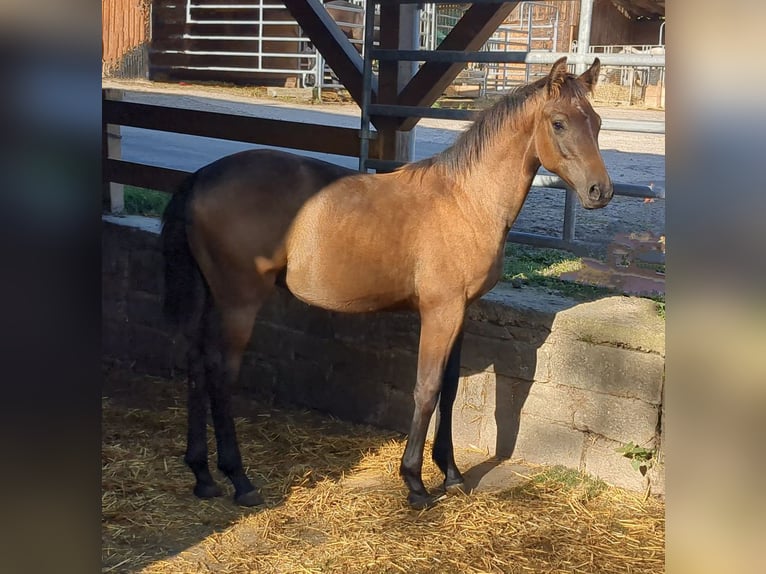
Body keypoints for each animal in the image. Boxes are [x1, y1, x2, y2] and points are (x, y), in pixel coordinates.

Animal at [161, 57, 612, 509]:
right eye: (558, 123)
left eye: (596, 122)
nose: (600, 191)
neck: (466, 200)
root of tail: (200, 177)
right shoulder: (440, 311)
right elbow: (427, 389)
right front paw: (414, 481)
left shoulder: (460, 311)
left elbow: (450, 390)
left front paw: (451, 474)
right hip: (239, 303)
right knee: (221, 374)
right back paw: (239, 479)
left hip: (210, 297)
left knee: (197, 366)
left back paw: (202, 474)